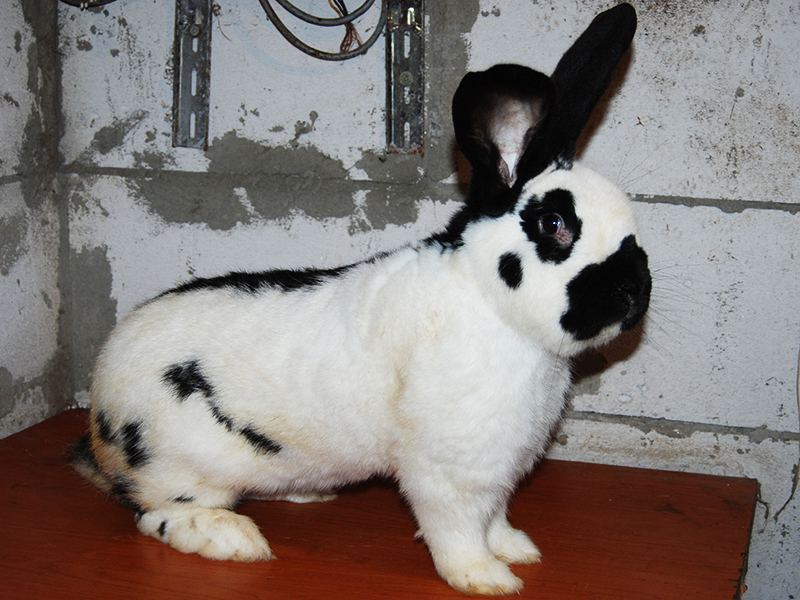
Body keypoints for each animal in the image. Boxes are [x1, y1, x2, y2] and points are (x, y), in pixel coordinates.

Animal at [72, 3, 646, 596]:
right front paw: (485, 578)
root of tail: (99, 416)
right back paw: (233, 538)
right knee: (157, 514)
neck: (488, 303)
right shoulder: (450, 471)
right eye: (554, 225)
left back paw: (308, 492)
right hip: (180, 464)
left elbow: (496, 517)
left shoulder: (498, 471)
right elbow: (457, 527)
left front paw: (518, 550)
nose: (634, 291)